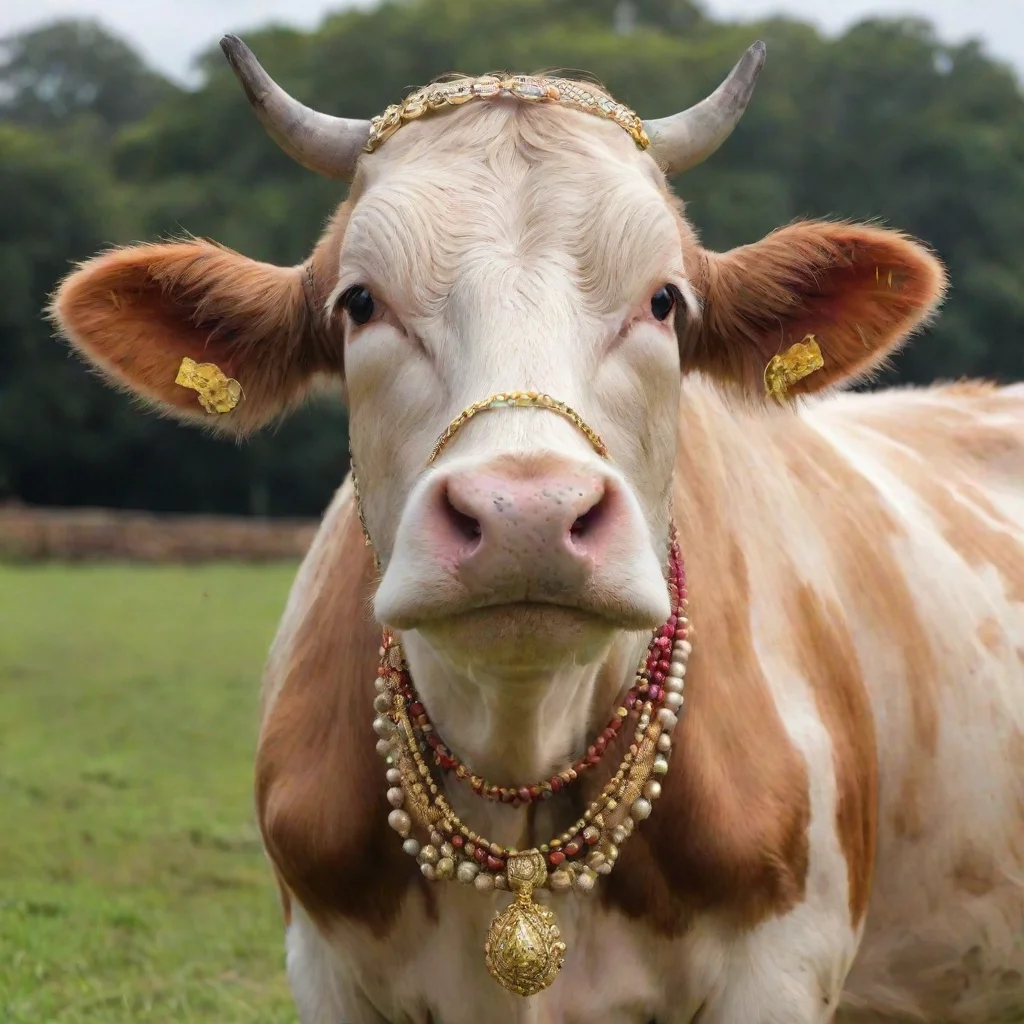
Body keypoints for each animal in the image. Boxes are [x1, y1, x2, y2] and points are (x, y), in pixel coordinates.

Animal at [50, 33, 1024, 1024]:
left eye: (664, 301)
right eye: (360, 302)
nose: (530, 515)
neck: (520, 749)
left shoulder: (782, 969)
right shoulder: (324, 971)